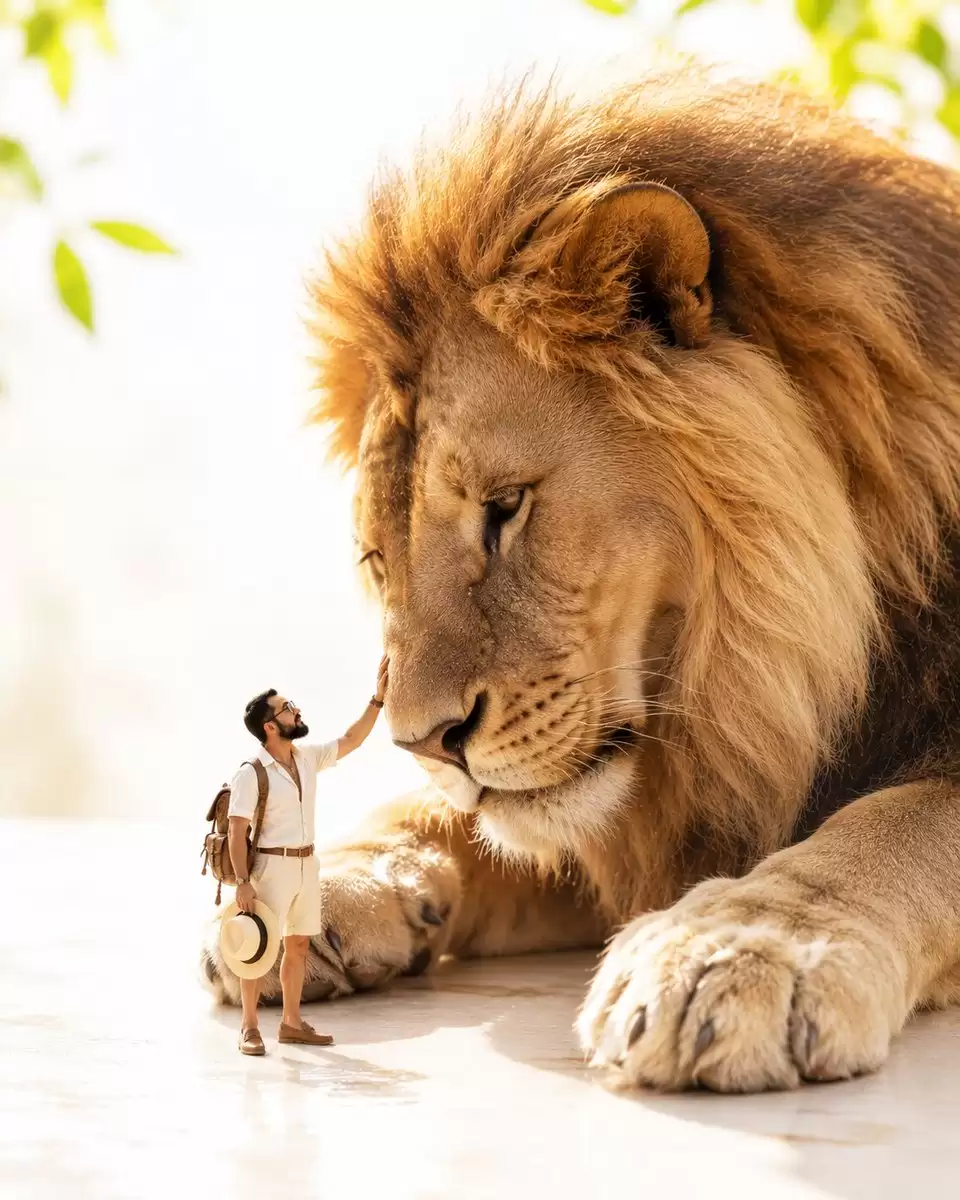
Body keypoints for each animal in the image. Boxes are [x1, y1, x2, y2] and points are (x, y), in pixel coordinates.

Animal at [202, 73, 960, 1093]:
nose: (426, 742)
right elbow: (462, 823)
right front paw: (330, 882)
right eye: (377, 561)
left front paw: (738, 950)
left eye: (504, 507)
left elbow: (900, 818)